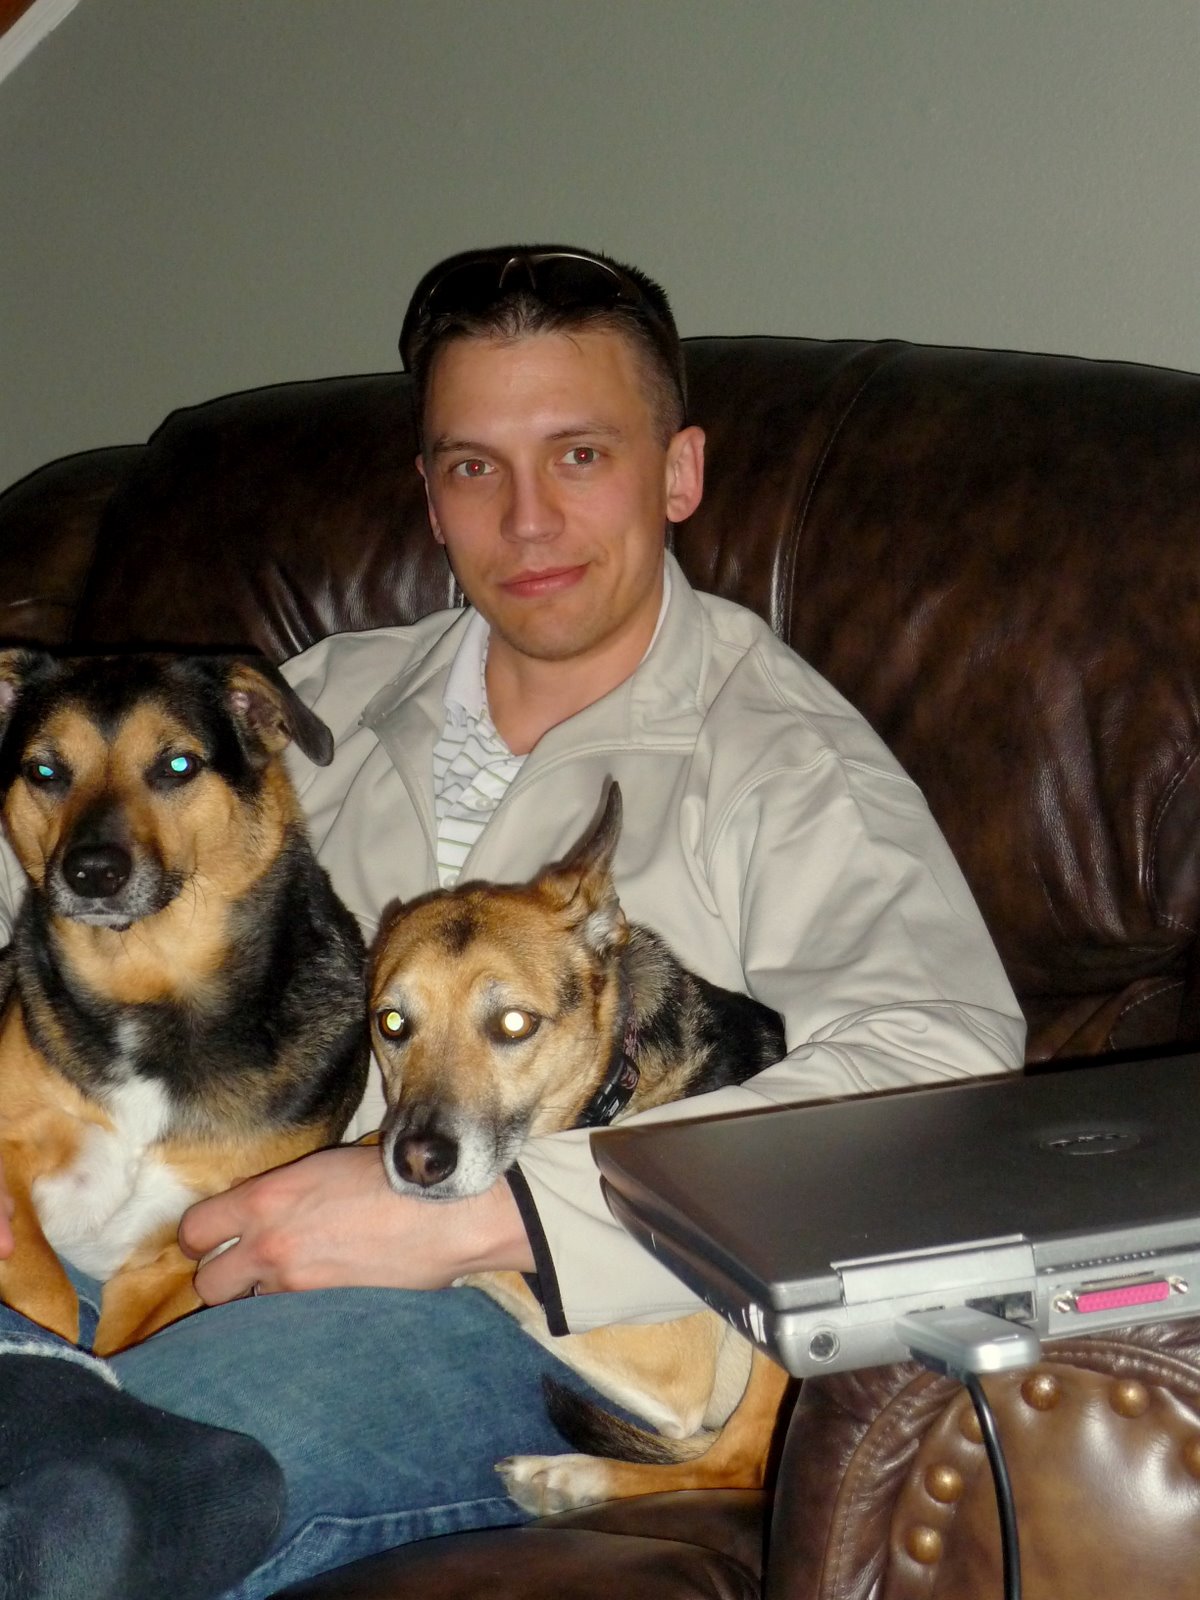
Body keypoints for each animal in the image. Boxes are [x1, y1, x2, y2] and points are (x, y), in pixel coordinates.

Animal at [0, 649, 367, 1356]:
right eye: (44, 771)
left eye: (178, 766)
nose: (92, 872)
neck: (149, 987)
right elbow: (45, 1289)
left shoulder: (184, 1254)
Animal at [368, 781, 792, 1514]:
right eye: (392, 1023)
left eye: (514, 1024)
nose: (418, 1163)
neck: (613, 1087)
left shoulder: (671, 1362)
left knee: (739, 1462)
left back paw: (569, 1475)